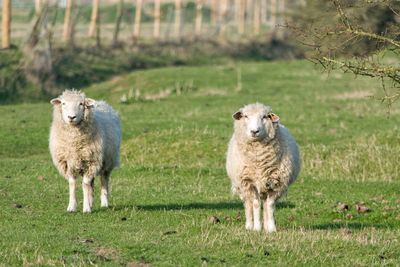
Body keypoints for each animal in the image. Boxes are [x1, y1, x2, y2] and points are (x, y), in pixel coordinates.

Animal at [225, 103, 300, 233]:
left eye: (265, 116)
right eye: (246, 116)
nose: (254, 131)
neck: (258, 161)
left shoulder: (276, 183)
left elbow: (270, 205)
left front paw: (271, 228)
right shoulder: (249, 183)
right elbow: (255, 204)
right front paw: (257, 228)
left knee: (265, 204)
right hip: (242, 187)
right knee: (248, 204)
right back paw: (249, 225)